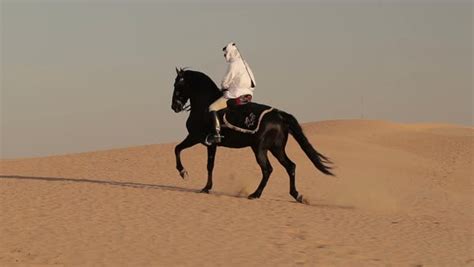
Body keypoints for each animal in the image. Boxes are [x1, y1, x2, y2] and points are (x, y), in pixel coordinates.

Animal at [171, 67, 334, 203]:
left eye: (177, 85)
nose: (175, 107)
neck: (204, 104)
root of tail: (279, 115)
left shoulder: (196, 138)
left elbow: (181, 151)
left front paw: (185, 173)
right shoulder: (208, 143)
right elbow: (206, 163)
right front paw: (203, 186)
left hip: (260, 149)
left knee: (268, 170)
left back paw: (255, 194)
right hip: (276, 149)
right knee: (290, 166)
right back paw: (296, 195)